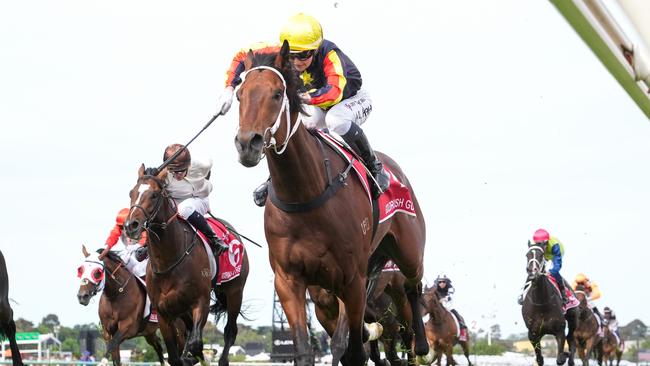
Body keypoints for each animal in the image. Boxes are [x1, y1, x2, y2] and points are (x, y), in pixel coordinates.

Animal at [124, 167, 251, 366]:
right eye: (132, 193)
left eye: (154, 194)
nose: (131, 225)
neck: (169, 260)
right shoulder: (163, 312)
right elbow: (175, 356)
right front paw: (186, 358)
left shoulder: (201, 302)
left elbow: (195, 344)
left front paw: (193, 357)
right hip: (181, 307)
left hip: (235, 291)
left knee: (230, 331)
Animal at [234, 41, 430, 364]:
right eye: (240, 94)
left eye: (277, 94)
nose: (247, 143)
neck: (305, 193)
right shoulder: (290, 281)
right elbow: (305, 348)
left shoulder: (351, 280)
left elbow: (349, 349)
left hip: (408, 250)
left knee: (413, 286)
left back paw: (422, 345)